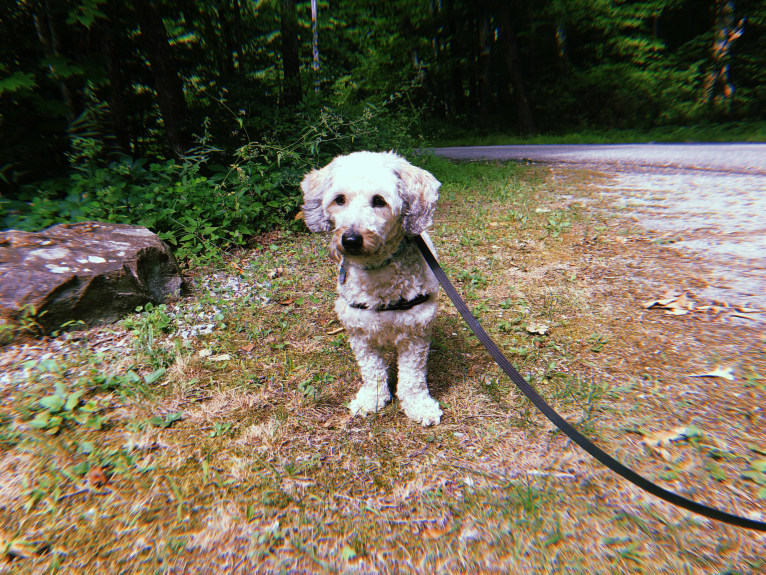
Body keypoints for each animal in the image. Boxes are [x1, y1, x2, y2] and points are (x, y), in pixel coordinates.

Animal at [300, 151, 444, 426]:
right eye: (339, 199)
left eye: (379, 201)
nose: (350, 239)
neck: (379, 274)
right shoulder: (360, 332)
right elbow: (372, 371)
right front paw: (372, 399)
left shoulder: (415, 333)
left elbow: (412, 379)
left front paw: (419, 406)